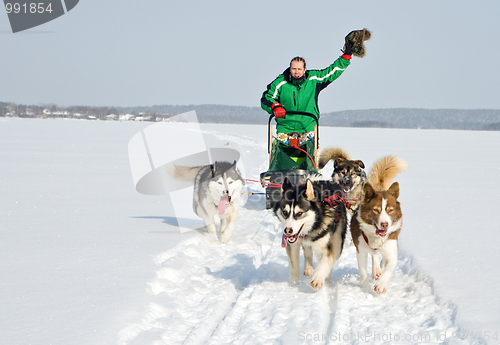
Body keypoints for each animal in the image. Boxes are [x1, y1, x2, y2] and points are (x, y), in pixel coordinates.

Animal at [350, 155, 408, 292]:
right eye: (376, 210)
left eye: (390, 210)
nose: (384, 224)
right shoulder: (361, 249)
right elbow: (363, 271)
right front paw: (365, 289)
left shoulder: (391, 248)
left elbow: (388, 268)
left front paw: (381, 284)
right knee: (374, 254)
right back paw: (376, 270)